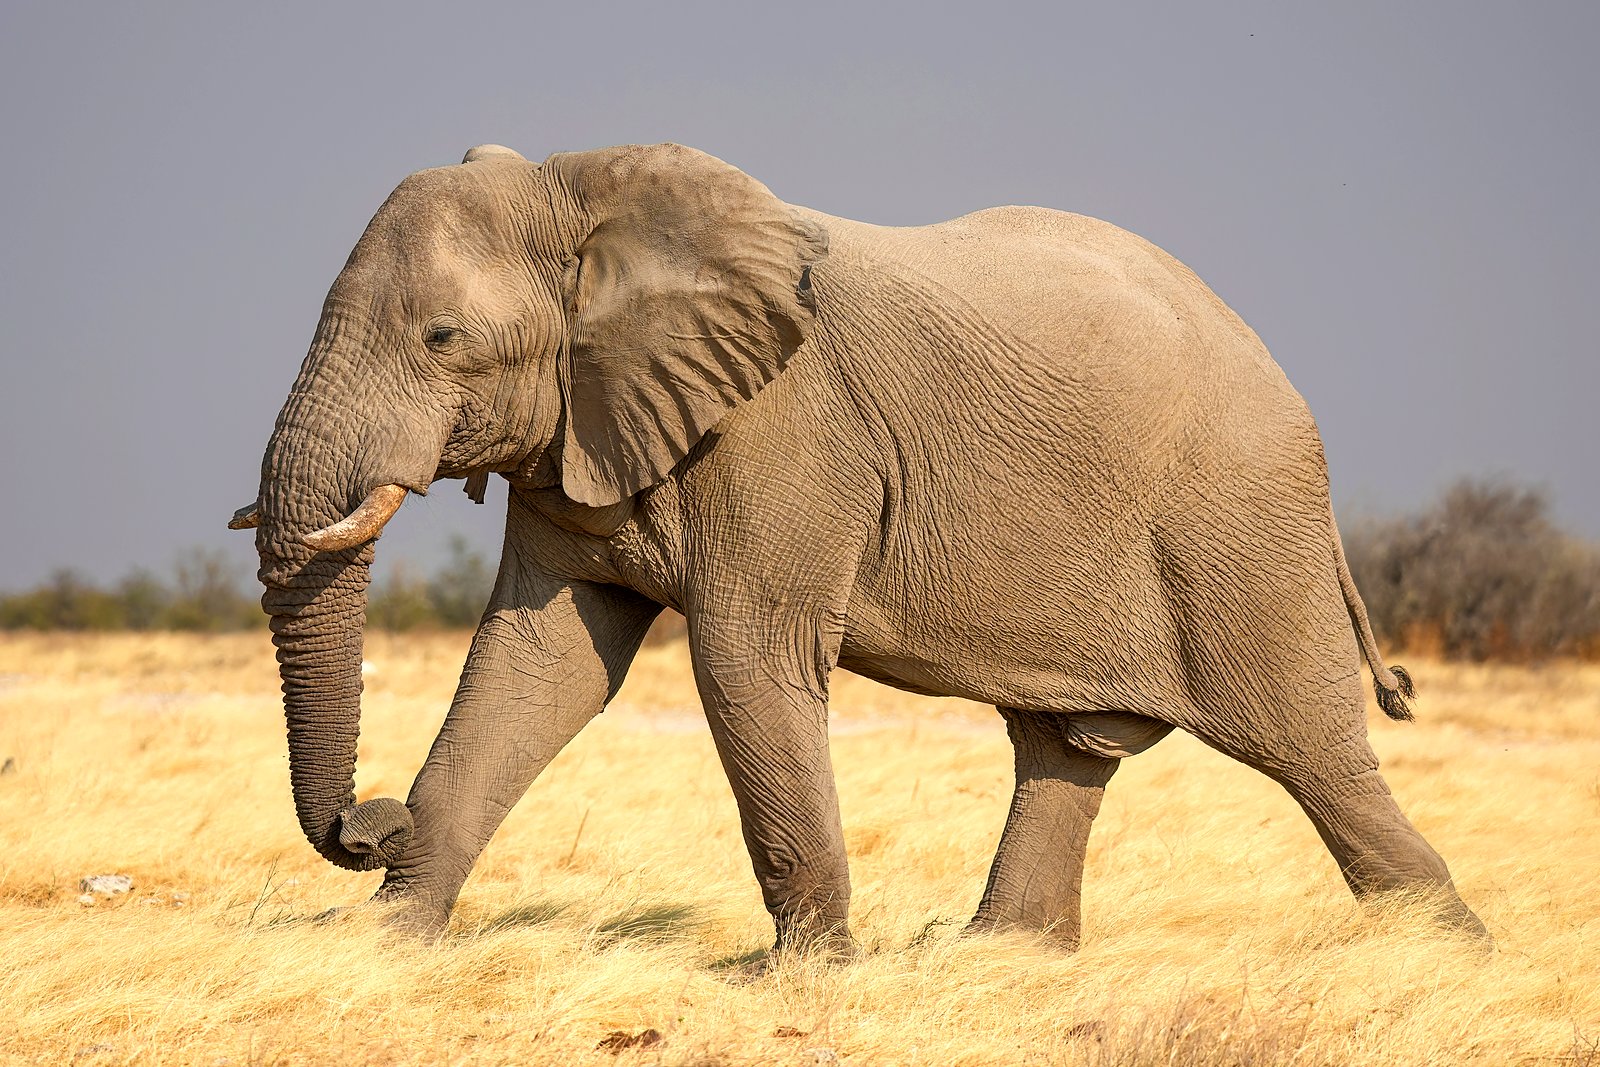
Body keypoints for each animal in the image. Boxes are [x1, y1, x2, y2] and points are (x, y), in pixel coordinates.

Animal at [230, 141, 1486, 953]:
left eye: (443, 338)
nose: (368, 821)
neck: (588, 190)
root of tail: (1282, 375)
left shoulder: (781, 432)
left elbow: (744, 660)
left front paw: (803, 978)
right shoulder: (581, 427)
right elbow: (537, 664)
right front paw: (383, 952)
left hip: (1239, 527)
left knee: (1311, 753)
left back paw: (1447, 958)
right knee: (1066, 747)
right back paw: (999, 963)